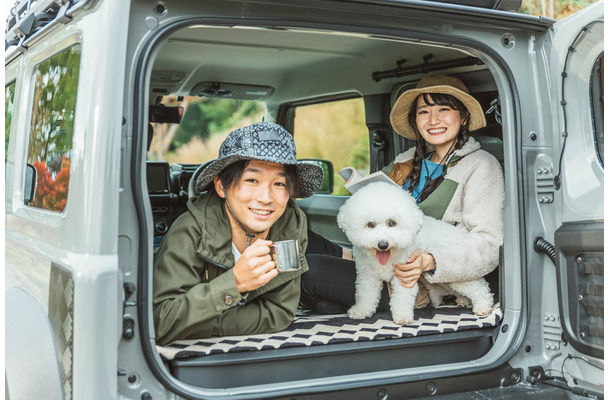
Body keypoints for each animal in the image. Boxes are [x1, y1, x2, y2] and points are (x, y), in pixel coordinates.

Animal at [334, 181, 492, 324]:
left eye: (392, 223)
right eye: (370, 224)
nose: (383, 245)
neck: (388, 256)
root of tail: (462, 234)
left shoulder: (405, 275)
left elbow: (402, 298)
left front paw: (403, 317)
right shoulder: (367, 276)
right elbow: (365, 295)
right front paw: (361, 311)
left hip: (458, 272)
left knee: (478, 287)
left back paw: (483, 306)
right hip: (447, 279)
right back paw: (464, 300)